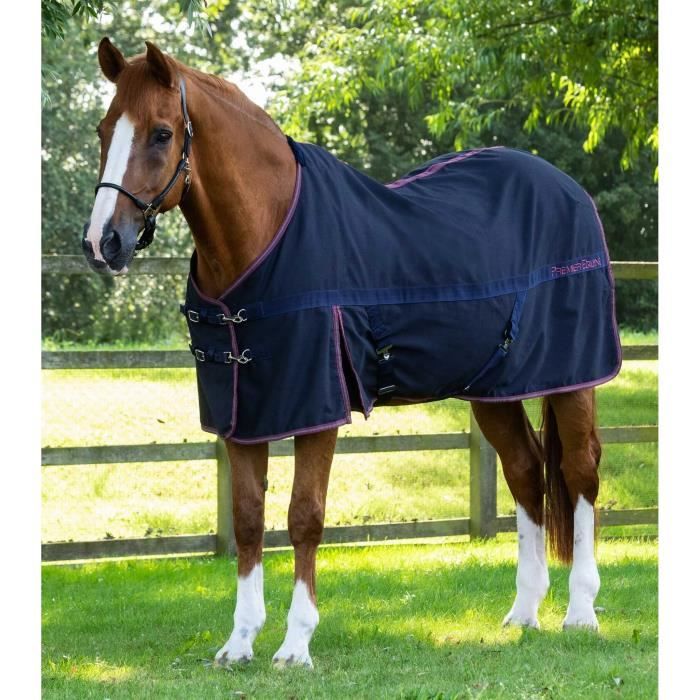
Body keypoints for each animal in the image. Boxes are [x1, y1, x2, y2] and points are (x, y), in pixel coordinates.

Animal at [81, 38, 620, 669]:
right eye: (104, 129)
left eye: (162, 133)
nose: (102, 242)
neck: (266, 235)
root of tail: (570, 190)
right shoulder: (244, 414)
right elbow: (247, 519)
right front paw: (239, 642)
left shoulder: (318, 410)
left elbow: (304, 517)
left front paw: (295, 644)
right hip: (494, 390)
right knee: (526, 471)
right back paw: (524, 613)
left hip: (572, 378)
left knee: (579, 472)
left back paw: (580, 613)